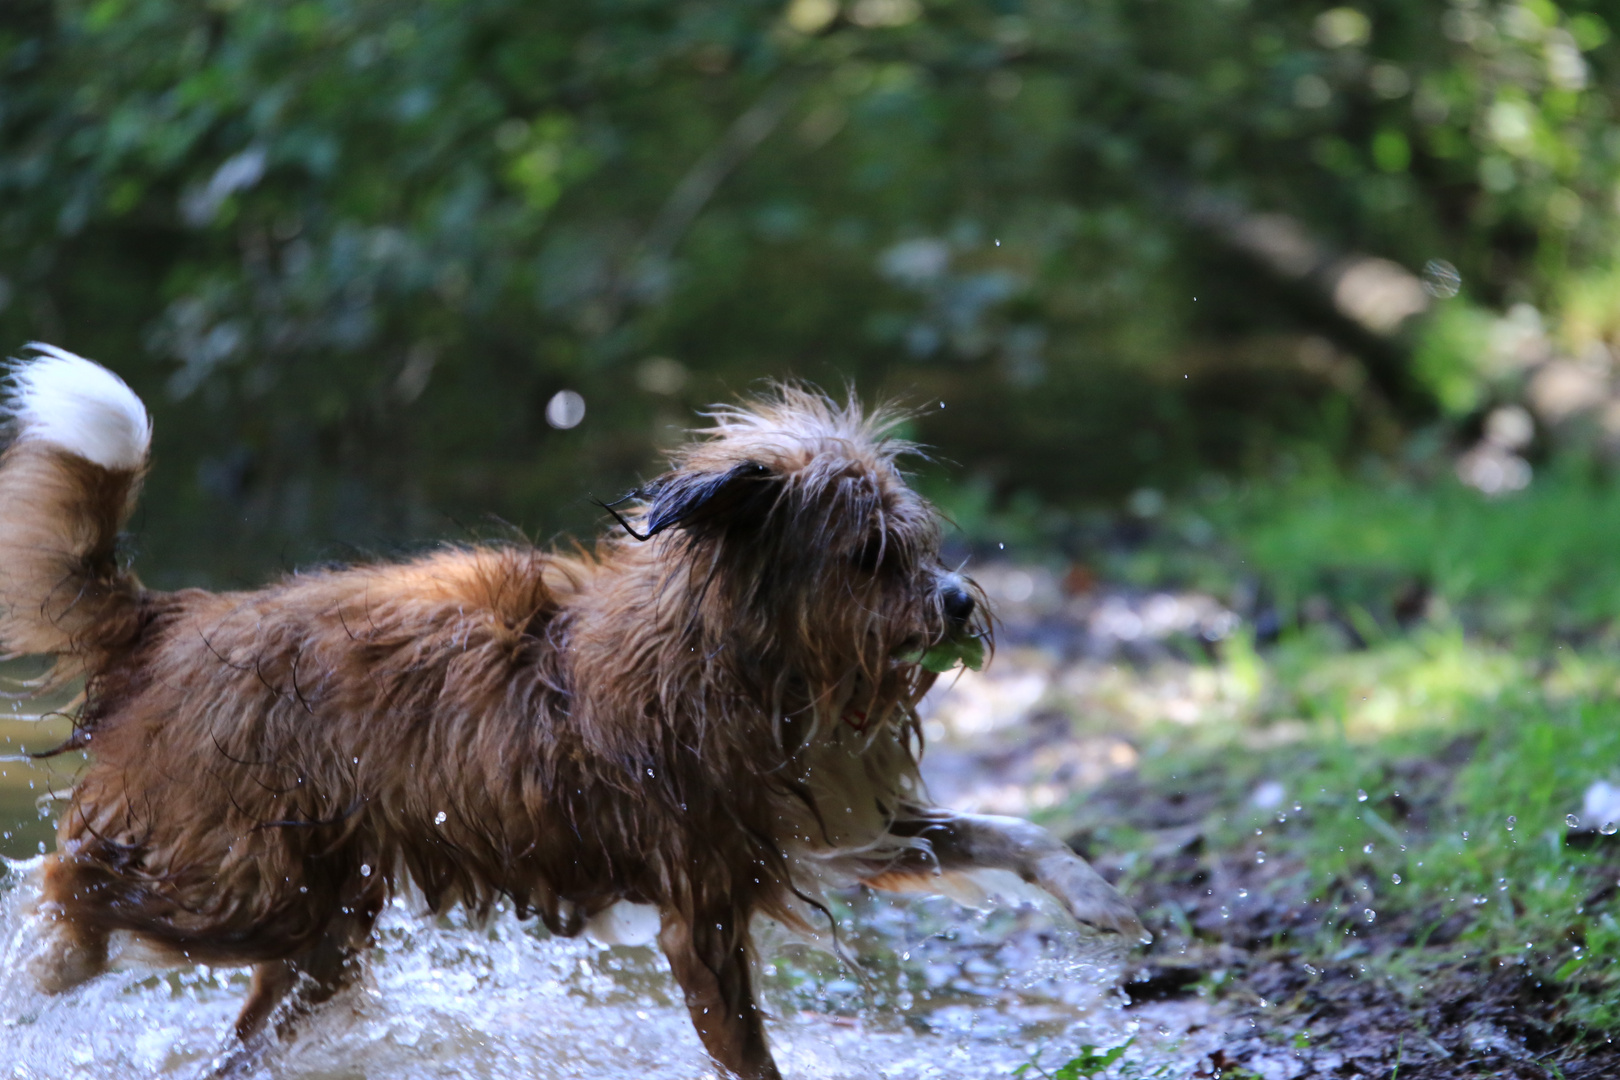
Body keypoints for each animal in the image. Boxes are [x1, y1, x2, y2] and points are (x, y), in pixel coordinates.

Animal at [0, 348, 1146, 1080]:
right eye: (869, 557)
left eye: (920, 544)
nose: (957, 603)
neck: (752, 666)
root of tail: (171, 618)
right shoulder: (702, 914)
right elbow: (749, 1054)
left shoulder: (832, 829)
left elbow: (1010, 830)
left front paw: (1099, 898)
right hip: (246, 887)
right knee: (72, 896)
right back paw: (38, 971)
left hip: (322, 927)